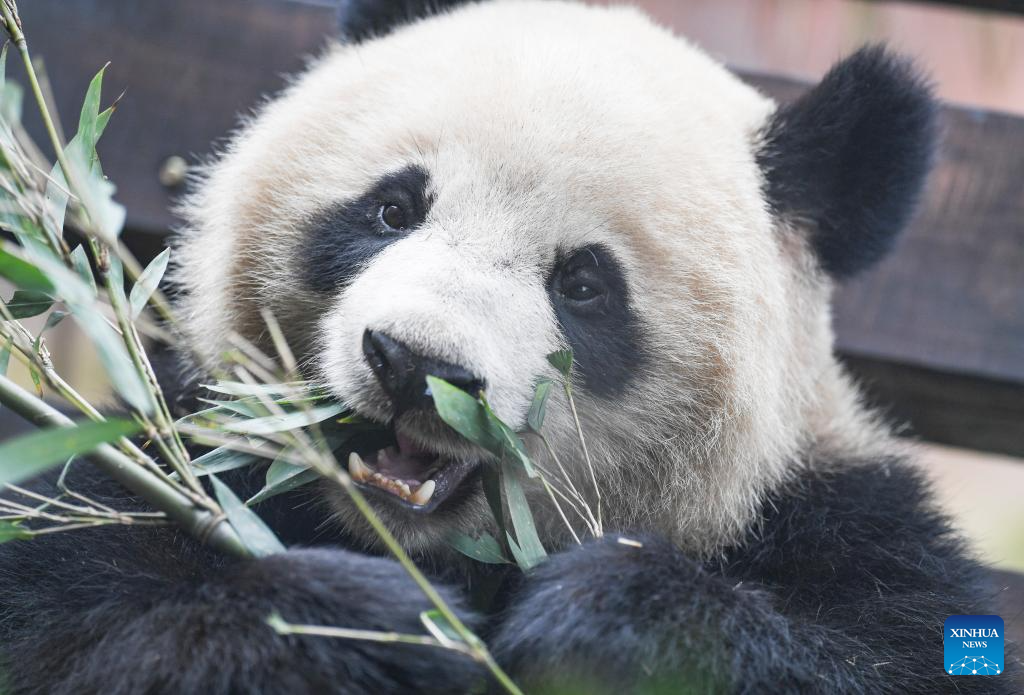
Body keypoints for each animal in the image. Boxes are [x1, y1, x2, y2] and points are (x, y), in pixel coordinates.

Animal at [0, 0, 1011, 691]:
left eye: (584, 284)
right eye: (393, 208)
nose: (415, 365)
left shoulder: (845, 528)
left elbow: (887, 651)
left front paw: (601, 621)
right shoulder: (160, 445)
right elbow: (67, 606)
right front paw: (367, 626)